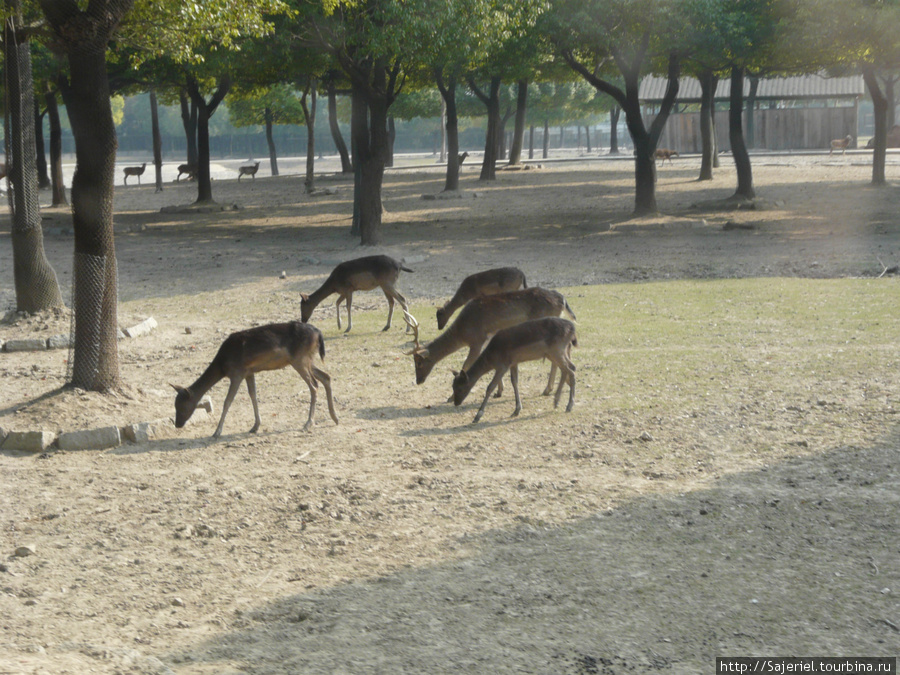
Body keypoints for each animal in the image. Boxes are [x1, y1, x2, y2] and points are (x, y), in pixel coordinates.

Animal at [171, 322, 338, 438]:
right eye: (175, 404)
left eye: (182, 406)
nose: (178, 424)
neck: (222, 365)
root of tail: (319, 333)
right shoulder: (249, 372)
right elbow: (253, 395)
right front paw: (255, 426)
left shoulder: (237, 373)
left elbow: (227, 401)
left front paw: (217, 432)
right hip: (306, 359)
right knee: (326, 377)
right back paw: (334, 417)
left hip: (300, 359)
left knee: (314, 385)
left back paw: (308, 423)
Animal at [402, 284, 572, 398]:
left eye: (419, 362)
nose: (418, 380)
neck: (462, 333)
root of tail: (562, 299)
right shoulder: (487, 339)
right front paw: (499, 391)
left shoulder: (477, 340)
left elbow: (466, 365)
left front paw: (450, 397)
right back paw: (550, 388)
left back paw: (549, 388)